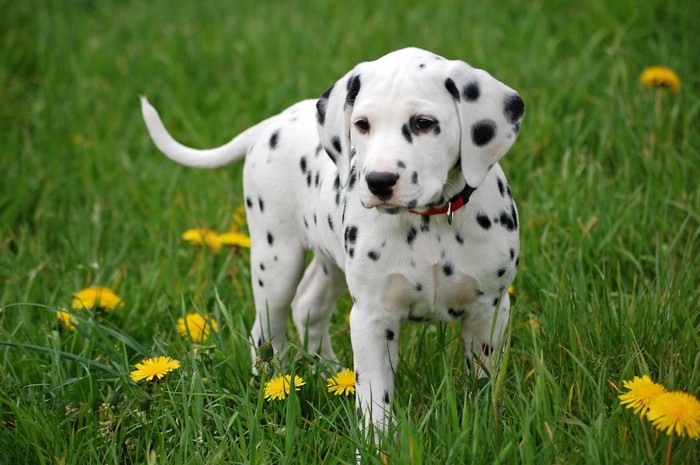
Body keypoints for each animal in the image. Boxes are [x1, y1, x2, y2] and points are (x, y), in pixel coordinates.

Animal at [142, 47, 524, 436]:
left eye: (424, 123)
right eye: (362, 124)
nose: (379, 181)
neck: (429, 222)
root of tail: (271, 124)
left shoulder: (489, 311)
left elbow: (484, 381)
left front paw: (484, 424)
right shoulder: (372, 318)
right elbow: (375, 396)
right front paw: (376, 441)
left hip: (333, 264)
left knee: (309, 303)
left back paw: (326, 369)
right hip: (276, 262)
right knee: (266, 329)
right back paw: (272, 385)